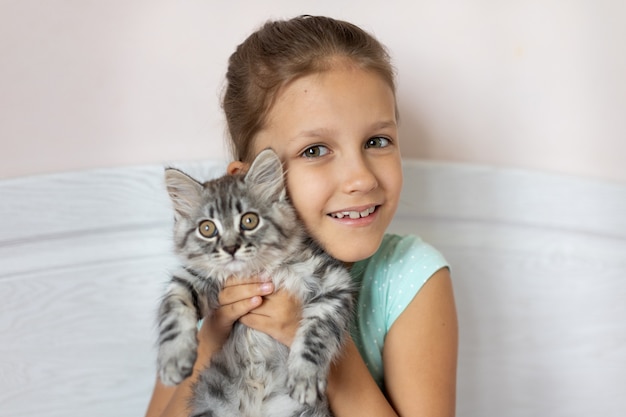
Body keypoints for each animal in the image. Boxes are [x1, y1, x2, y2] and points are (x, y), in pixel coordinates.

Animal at [155, 148, 352, 414]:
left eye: (249, 221)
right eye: (207, 229)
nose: (230, 248)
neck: (255, 270)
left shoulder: (333, 283)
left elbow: (316, 333)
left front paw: (305, 376)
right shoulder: (191, 279)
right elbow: (174, 311)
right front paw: (173, 358)